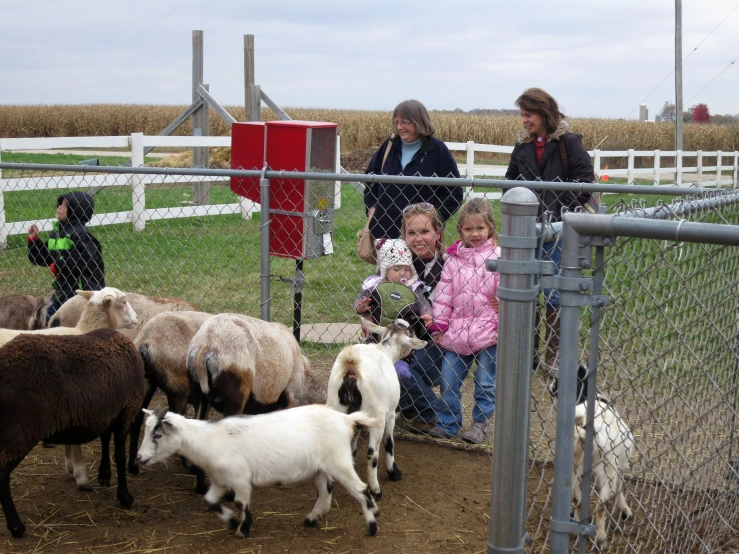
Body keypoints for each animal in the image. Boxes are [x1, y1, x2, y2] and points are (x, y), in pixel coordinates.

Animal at [137, 404, 382, 536]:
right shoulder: (221, 480)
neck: (209, 440)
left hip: (339, 462)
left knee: (361, 490)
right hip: (320, 467)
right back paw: (312, 519)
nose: (139, 458)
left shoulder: (240, 479)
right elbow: (210, 501)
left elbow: (241, 503)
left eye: (157, 434)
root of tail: (345, 419)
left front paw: (243, 529)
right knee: (325, 492)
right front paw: (232, 521)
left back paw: (371, 526)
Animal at [330, 316, 428, 498]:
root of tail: (351, 367)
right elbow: (389, 443)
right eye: (411, 331)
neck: (385, 350)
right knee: (372, 453)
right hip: (377, 417)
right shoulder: (390, 415)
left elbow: (353, 443)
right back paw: (375, 489)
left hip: (336, 406)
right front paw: (394, 472)